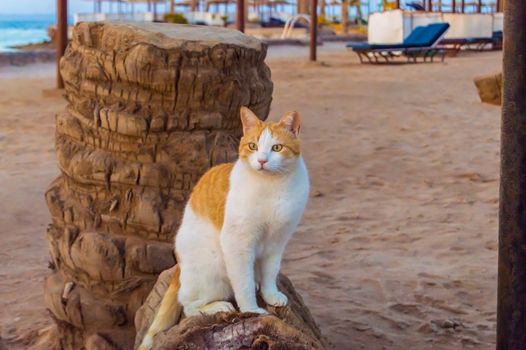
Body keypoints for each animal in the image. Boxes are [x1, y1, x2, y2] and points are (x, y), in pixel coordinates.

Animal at [139, 106, 310, 350]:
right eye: (253, 146)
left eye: (277, 147)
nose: (262, 161)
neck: (272, 186)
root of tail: (179, 267)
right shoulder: (238, 243)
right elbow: (243, 283)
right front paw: (251, 310)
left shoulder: (277, 241)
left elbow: (270, 272)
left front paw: (270, 294)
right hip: (213, 266)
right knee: (189, 306)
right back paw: (217, 306)